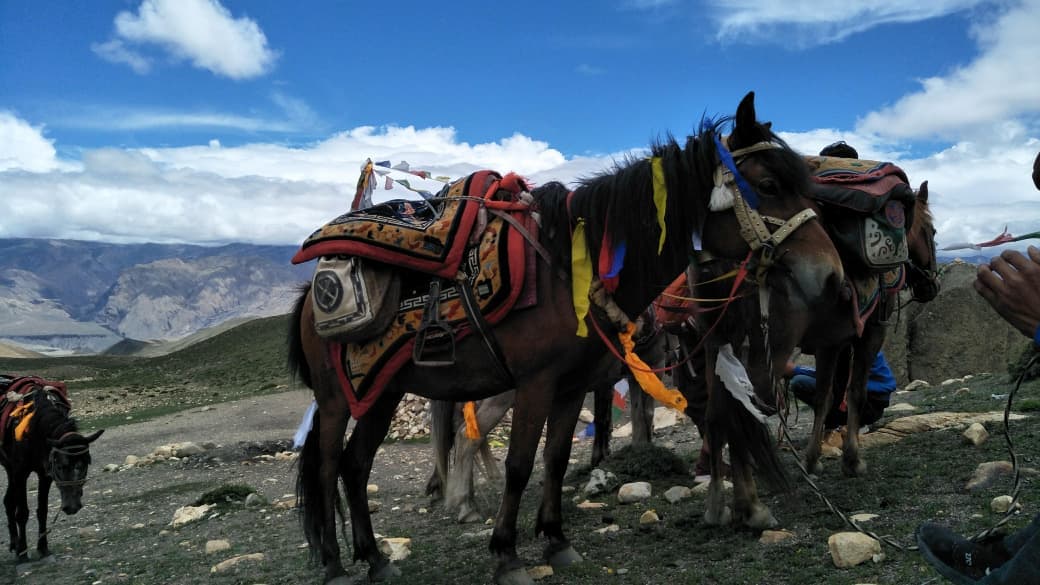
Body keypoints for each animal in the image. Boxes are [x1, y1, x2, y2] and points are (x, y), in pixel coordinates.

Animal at [0, 376, 103, 563]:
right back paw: (17, 546)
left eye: (86, 464)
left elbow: (42, 511)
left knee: (8, 501)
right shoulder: (21, 473)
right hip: (12, 471)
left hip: (10, 469)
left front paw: (43, 548)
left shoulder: (44, 475)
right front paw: (23, 553)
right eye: (61, 465)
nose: (72, 507)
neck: (34, 429)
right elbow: (22, 513)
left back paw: (13, 543)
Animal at [288, 92, 845, 585]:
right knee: (329, 466)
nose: (831, 277)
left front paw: (556, 541)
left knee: (356, 466)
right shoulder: (536, 384)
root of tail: (310, 293)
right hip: (338, 398)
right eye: (768, 183)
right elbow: (519, 465)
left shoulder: (573, 386)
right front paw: (507, 555)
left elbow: (556, 460)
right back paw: (336, 565)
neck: (574, 269)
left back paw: (375, 558)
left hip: (382, 392)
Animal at [799, 180, 939, 477]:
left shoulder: (836, 344)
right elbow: (853, 392)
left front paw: (815, 456)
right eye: (931, 231)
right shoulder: (868, 335)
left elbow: (827, 394)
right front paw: (851, 459)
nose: (931, 286)